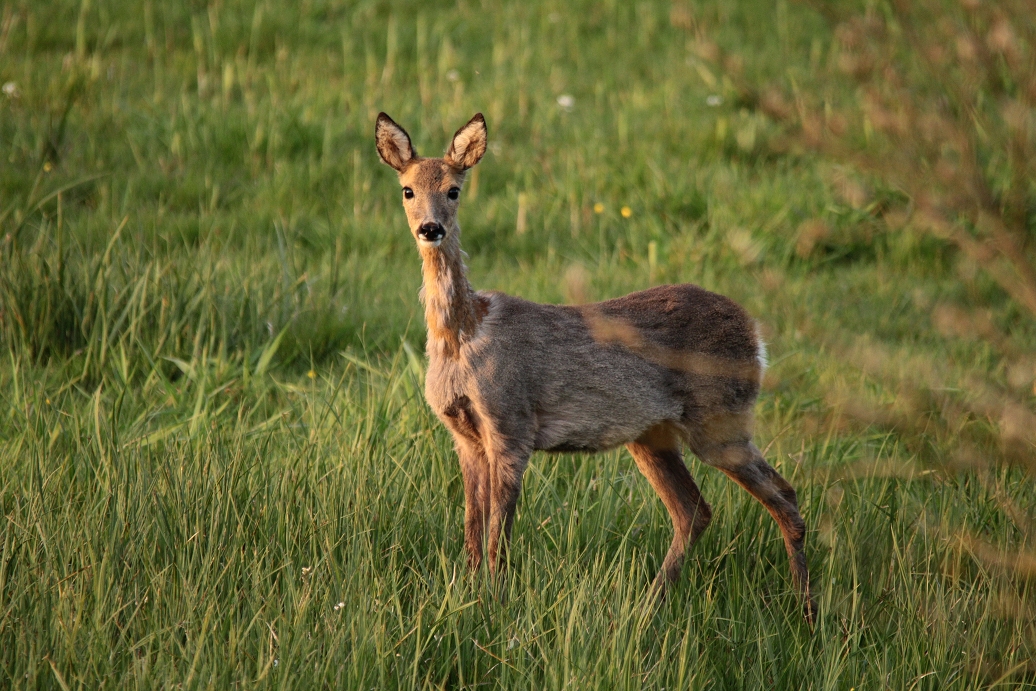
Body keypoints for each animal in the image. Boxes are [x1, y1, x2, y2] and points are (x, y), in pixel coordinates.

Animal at [372, 112, 816, 621]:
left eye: (453, 190)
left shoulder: (511, 423)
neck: (462, 338)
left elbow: (498, 535)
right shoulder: (463, 435)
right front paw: (468, 597)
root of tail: (755, 333)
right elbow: (471, 528)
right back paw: (649, 606)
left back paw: (807, 613)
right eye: (407, 190)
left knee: (784, 496)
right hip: (653, 434)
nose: (430, 229)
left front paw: (495, 605)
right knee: (695, 510)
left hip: (721, 420)